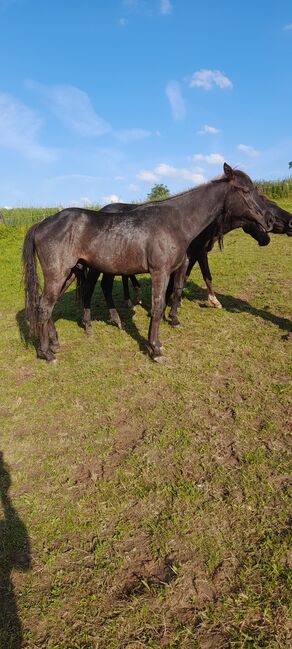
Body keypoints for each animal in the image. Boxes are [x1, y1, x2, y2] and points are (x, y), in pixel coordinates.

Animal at [22, 162, 274, 362]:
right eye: (245, 190)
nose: (268, 220)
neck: (176, 222)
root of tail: (42, 223)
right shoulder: (160, 272)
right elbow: (157, 306)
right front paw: (155, 349)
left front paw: (159, 340)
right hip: (59, 274)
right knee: (44, 307)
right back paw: (47, 353)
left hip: (69, 273)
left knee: (46, 306)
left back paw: (55, 343)